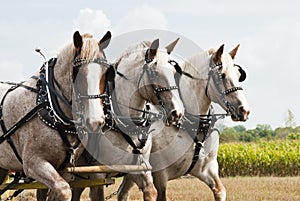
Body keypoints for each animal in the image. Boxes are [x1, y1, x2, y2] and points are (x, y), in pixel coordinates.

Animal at [0, 30, 112, 200]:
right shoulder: (33, 164)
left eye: (106, 73)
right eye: (77, 73)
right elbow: (64, 190)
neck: (51, 107)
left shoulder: (65, 170)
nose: (95, 122)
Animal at [118, 43, 250, 200]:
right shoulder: (160, 174)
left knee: (122, 193)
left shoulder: (207, 168)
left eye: (238, 75)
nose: (244, 110)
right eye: (221, 76)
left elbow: (220, 190)